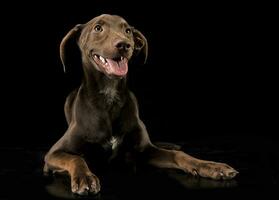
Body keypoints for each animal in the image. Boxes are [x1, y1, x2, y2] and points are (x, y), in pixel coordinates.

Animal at [44, 13, 240, 195]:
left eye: (127, 31)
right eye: (98, 28)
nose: (124, 45)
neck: (110, 95)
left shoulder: (145, 151)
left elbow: (179, 154)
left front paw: (212, 166)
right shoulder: (52, 154)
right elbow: (76, 158)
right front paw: (84, 177)